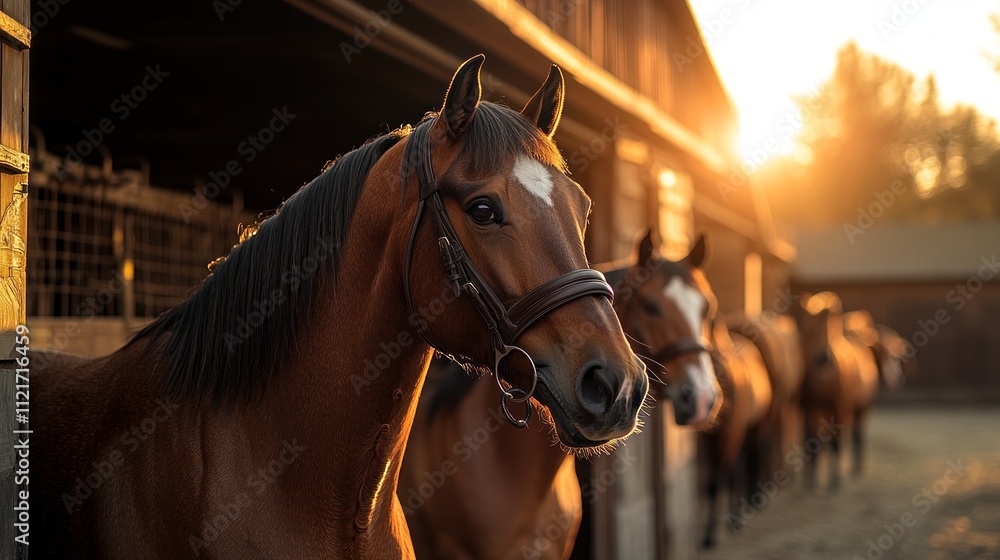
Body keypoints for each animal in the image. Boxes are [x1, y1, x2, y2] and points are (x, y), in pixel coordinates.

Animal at [699, 316, 773, 548]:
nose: (708, 404)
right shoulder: (706, 440)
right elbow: (710, 484)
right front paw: (707, 534)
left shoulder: (730, 434)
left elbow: (724, 478)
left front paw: (716, 532)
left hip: (755, 428)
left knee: (751, 459)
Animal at [795, 292, 877, 490]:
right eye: (809, 327)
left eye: (832, 325)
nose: (824, 357)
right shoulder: (809, 407)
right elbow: (810, 441)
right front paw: (810, 481)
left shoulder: (838, 406)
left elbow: (836, 444)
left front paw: (835, 481)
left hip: (861, 407)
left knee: (856, 434)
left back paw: (857, 467)